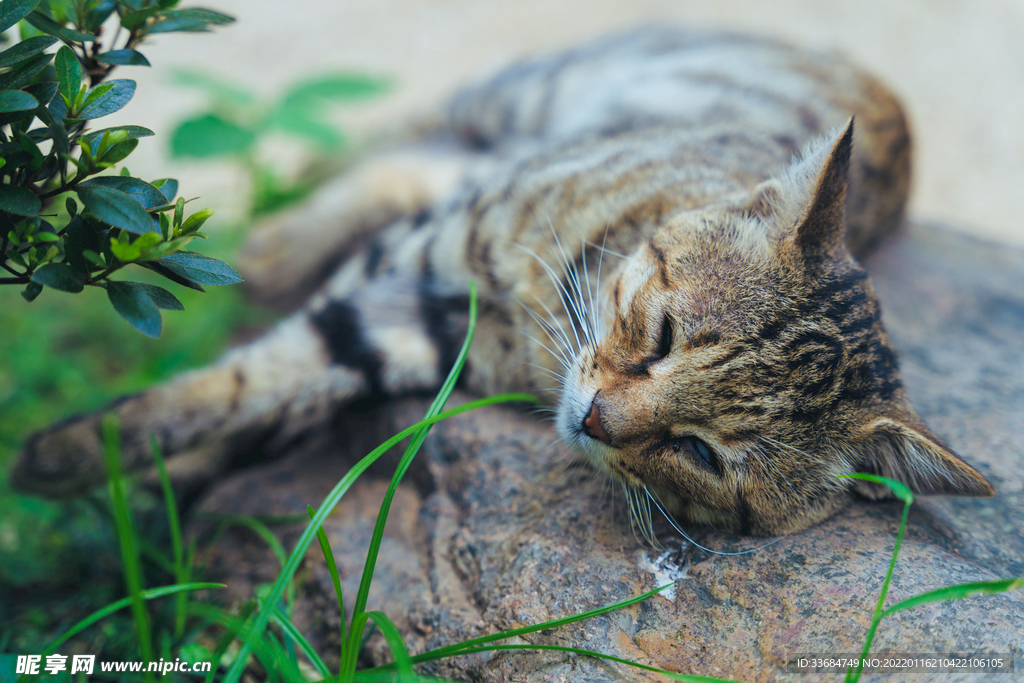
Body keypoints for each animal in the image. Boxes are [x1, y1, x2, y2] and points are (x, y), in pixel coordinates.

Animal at [14, 26, 991, 536]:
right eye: (665, 335)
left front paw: (121, 464)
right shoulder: (409, 260)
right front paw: (74, 454)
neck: (543, 305)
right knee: (403, 141)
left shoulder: (413, 328)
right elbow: (244, 379)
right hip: (529, 92)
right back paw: (265, 245)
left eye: (704, 454)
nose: (594, 419)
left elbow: (273, 385)